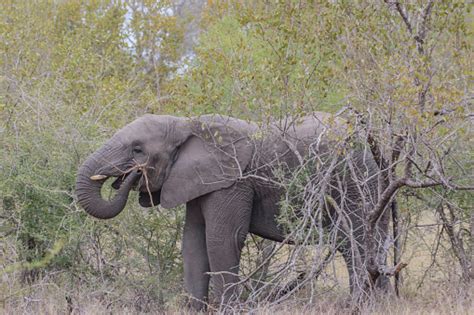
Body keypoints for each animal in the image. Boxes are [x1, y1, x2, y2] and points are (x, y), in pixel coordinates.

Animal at [76, 113, 390, 312]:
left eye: (138, 150)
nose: (128, 177)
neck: (187, 123)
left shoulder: (234, 181)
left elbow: (222, 239)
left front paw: (228, 309)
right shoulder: (198, 180)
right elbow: (193, 242)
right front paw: (195, 310)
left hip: (355, 182)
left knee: (354, 240)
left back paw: (359, 305)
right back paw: (384, 302)